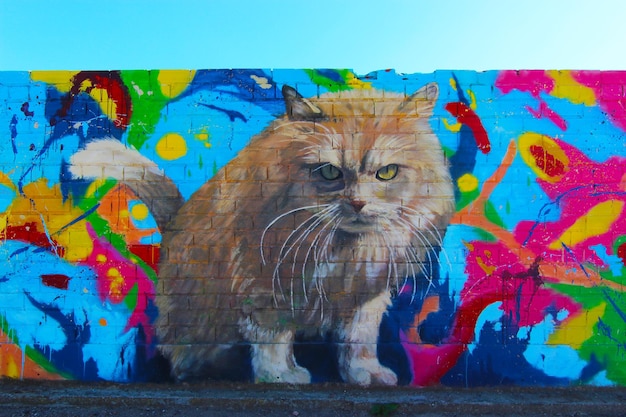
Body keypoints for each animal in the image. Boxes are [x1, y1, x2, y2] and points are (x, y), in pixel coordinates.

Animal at [70, 80, 454, 384]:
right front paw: (279, 377)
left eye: (387, 172)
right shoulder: (263, 288)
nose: (358, 203)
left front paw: (365, 376)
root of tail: (175, 223)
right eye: (330, 172)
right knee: (184, 356)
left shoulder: (367, 297)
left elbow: (358, 343)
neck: (345, 249)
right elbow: (273, 341)